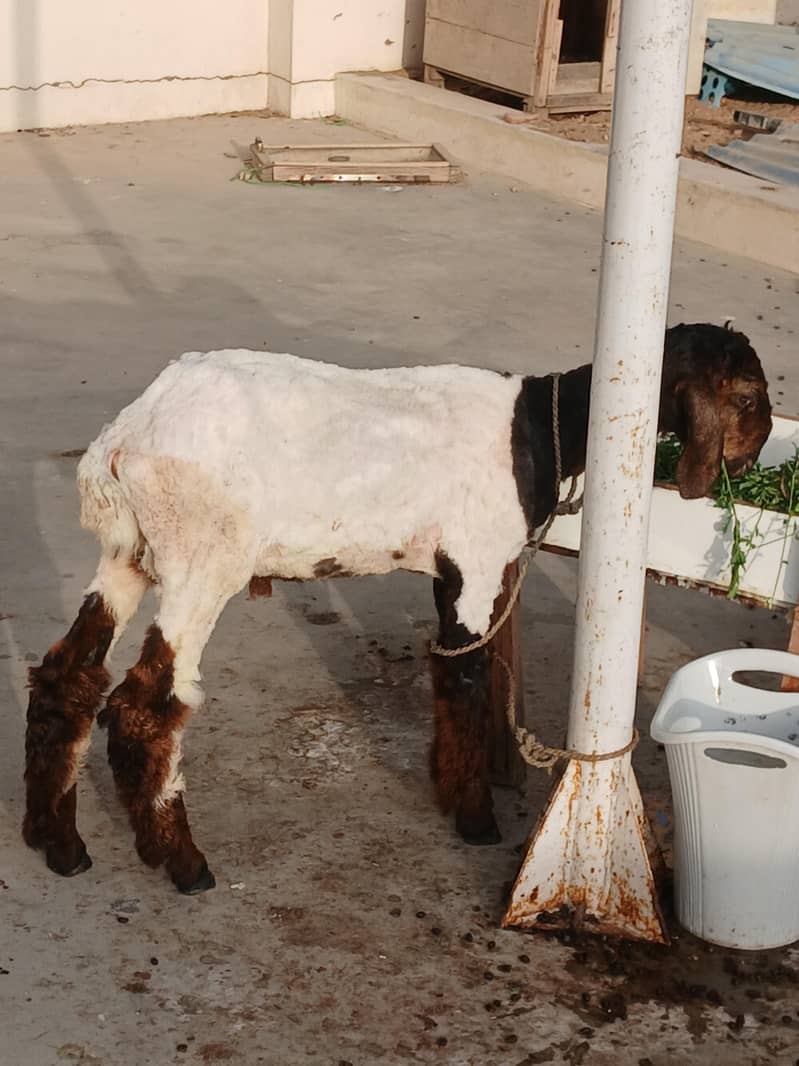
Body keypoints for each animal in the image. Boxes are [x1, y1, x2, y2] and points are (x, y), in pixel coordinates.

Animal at [23, 322, 773, 894]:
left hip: (128, 556)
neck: (539, 425)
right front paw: (476, 821)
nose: (751, 459)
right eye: (747, 393)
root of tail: (123, 440)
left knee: (66, 677)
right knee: (147, 705)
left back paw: (56, 842)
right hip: (201, 559)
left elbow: (448, 674)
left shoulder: (451, 573)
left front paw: (451, 790)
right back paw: (180, 861)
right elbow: (469, 680)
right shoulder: (477, 563)